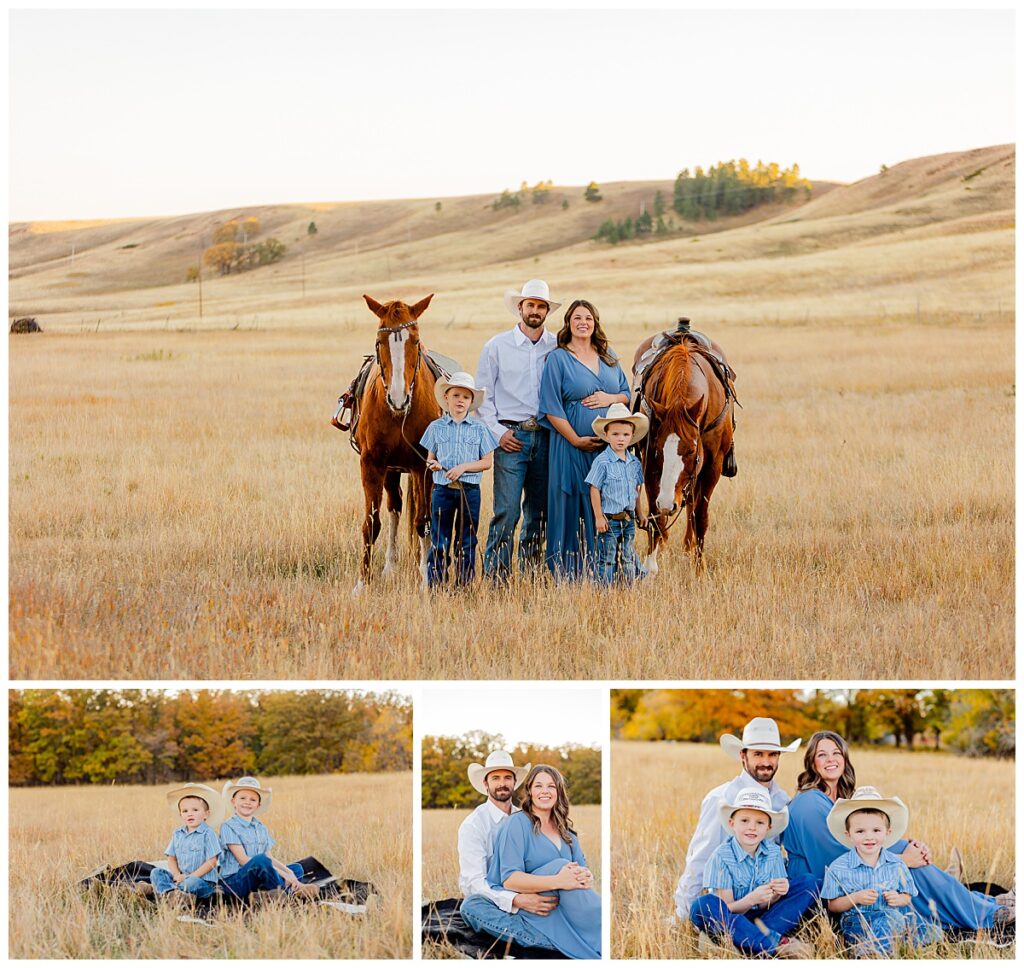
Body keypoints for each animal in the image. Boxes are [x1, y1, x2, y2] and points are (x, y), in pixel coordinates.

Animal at [352, 290, 440, 594]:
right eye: (380, 341)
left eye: (415, 340)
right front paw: (362, 584)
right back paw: (390, 567)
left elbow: (423, 522)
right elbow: (371, 524)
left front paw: (426, 579)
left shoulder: (423, 466)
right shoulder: (371, 463)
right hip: (391, 469)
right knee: (395, 505)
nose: (398, 398)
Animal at [630, 331, 737, 573]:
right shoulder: (649, 462)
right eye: (658, 451)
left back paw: (689, 547)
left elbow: (700, 516)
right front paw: (652, 564)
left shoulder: (711, 467)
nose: (669, 503)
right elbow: (655, 513)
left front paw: (700, 568)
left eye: (691, 451)